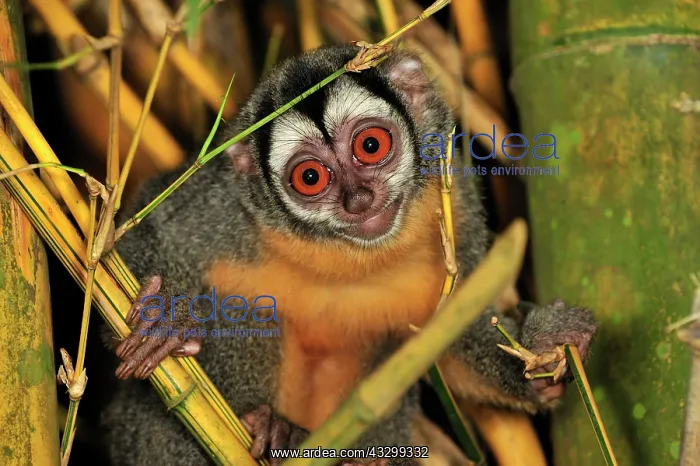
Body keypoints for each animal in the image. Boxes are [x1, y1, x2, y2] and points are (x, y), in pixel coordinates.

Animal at [98, 44, 598, 466]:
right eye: (310, 177)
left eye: (370, 145)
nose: (358, 199)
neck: (341, 250)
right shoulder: (224, 203)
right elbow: (133, 238)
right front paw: (167, 316)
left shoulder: (454, 194)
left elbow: (458, 324)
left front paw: (545, 351)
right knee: (249, 312)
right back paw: (274, 430)